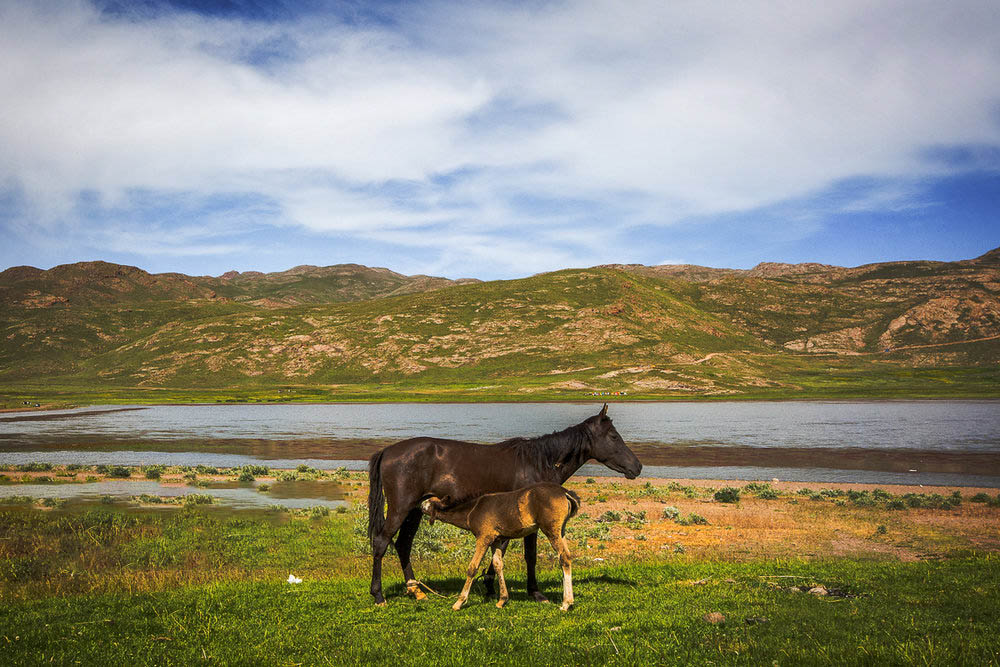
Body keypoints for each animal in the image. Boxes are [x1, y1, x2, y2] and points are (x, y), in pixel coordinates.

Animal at [368, 404, 640, 608]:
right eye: (613, 436)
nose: (637, 467)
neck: (540, 462)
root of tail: (388, 451)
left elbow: (500, 553)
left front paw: (490, 586)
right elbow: (529, 556)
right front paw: (535, 593)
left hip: (414, 511)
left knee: (403, 545)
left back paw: (416, 591)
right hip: (401, 508)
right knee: (382, 542)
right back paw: (379, 595)